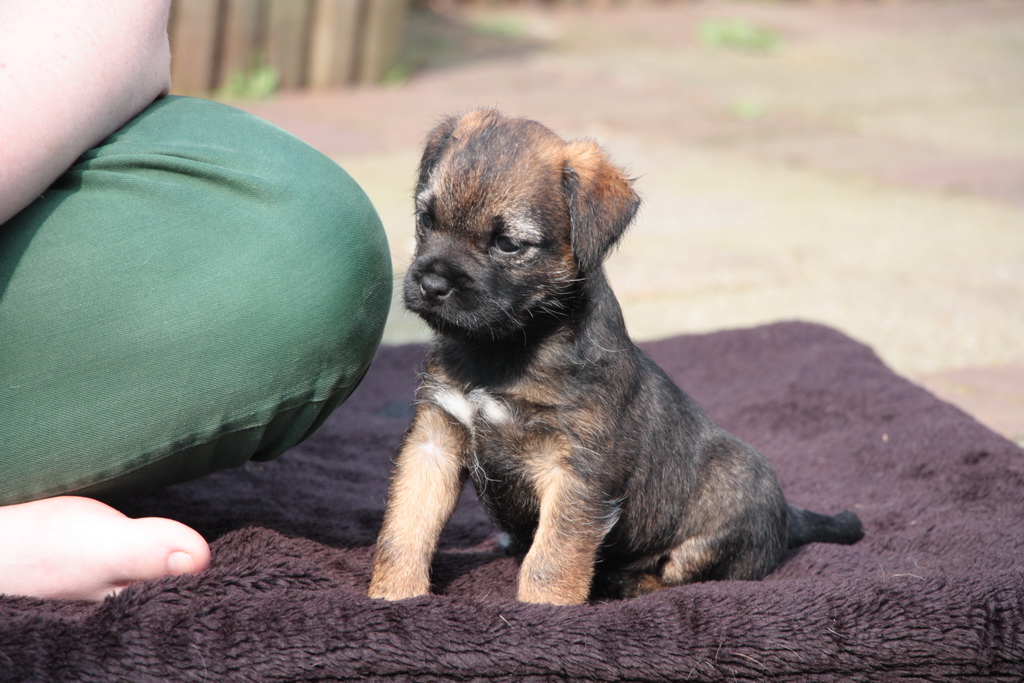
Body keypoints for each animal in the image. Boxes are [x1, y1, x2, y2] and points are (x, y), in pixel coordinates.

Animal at [368, 109, 863, 605]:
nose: (431, 284)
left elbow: (551, 557)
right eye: (426, 218)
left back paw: (627, 581)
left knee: (685, 572)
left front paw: (543, 608)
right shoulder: (433, 441)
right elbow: (406, 527)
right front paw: (395, 594)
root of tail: (788, 517)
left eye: (508, 244)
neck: (502, 349)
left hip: (727, 505)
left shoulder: (575, 470)